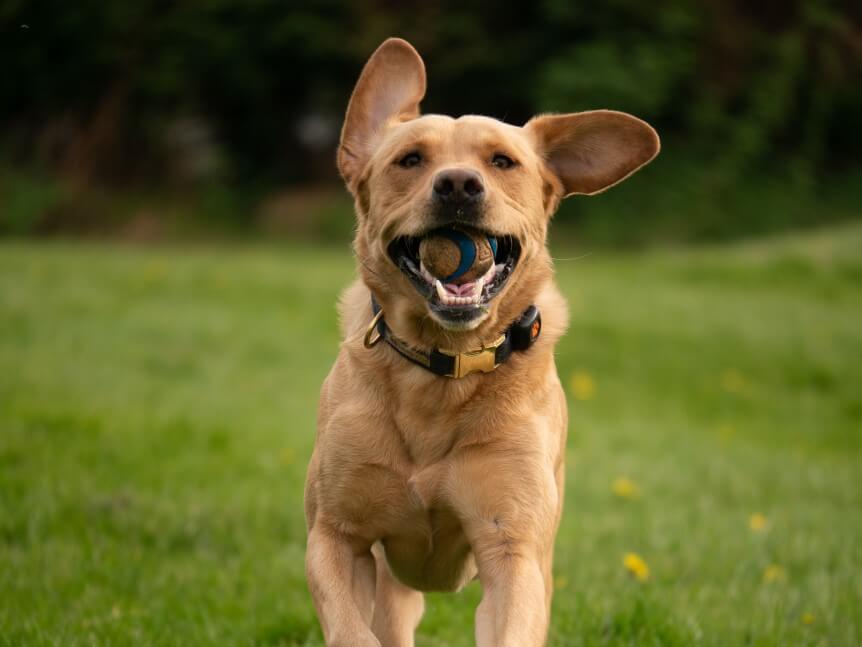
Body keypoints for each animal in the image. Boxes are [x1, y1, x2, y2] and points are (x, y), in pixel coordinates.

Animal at [306, 38, 660, 644]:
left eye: (501, 161)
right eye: (410, 160)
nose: (458, 184)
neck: (442, 366)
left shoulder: (512, 547)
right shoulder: (334, 534)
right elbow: (352, 628)